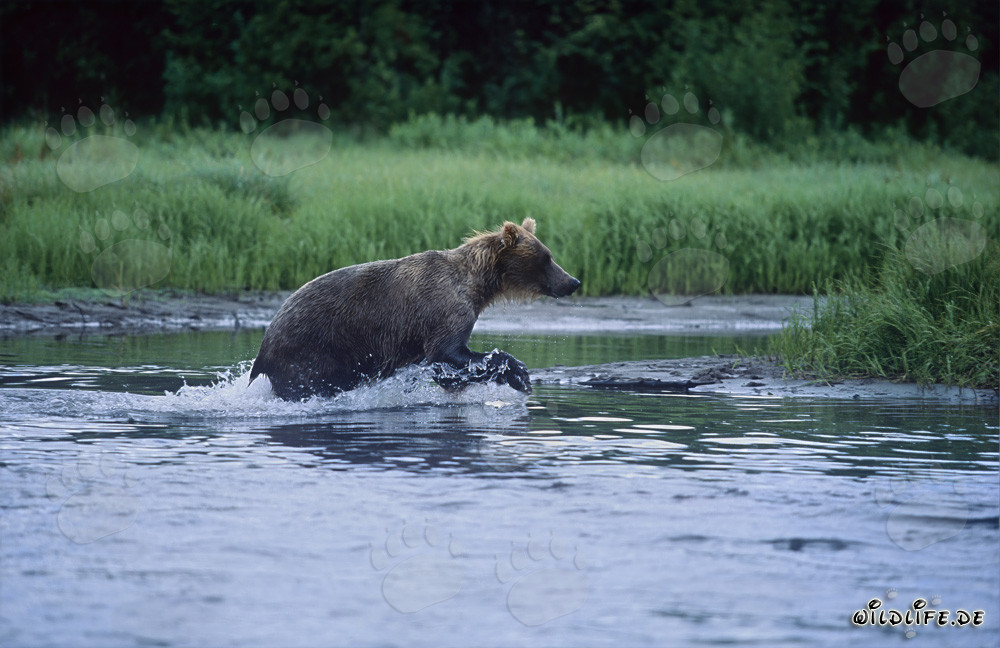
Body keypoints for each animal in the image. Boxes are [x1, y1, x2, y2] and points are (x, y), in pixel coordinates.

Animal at [249, 217, 580, 399]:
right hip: (311, 349)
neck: (477, 286)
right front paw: (519, 374)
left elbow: (447, 370)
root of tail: (264, 346)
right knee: (309, 384)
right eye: (547, 257)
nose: (573, 281)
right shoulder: (445, 310)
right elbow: (449, 354)